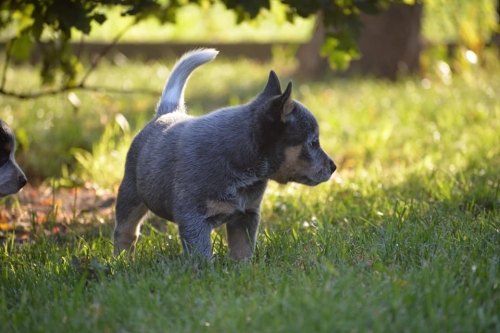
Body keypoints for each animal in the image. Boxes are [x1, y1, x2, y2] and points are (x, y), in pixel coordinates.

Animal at [114, 48, 336, 258]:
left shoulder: (246, 215)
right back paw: (121, 261)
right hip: (130, 194)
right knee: (126, 233)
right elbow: (202, 258)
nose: (333, 166)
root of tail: (168, 112)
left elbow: (242, 252)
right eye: (313, 142)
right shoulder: (194, 220)